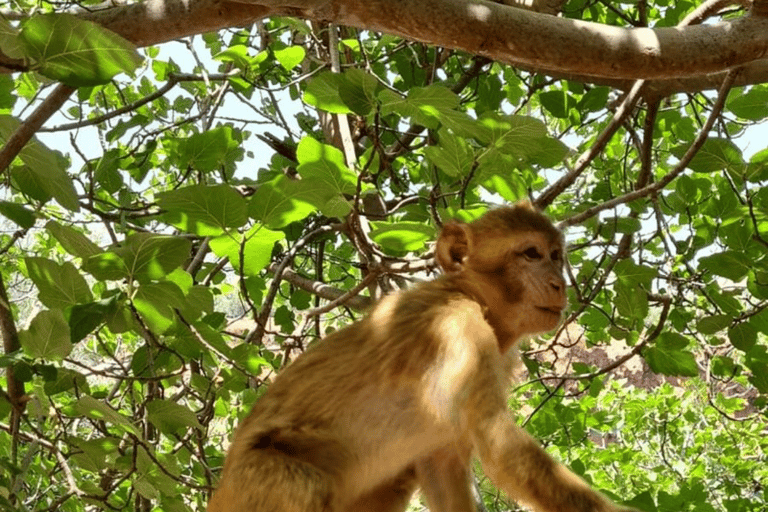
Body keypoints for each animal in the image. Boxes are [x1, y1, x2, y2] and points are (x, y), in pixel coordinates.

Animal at [207, 202, 640, 512]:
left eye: (554, 255)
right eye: (531, 254)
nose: (558, 283)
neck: (473, 296)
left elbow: (443, 463)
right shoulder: (460, 332)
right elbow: (499, 444)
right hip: (254, 484)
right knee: (302, 484)